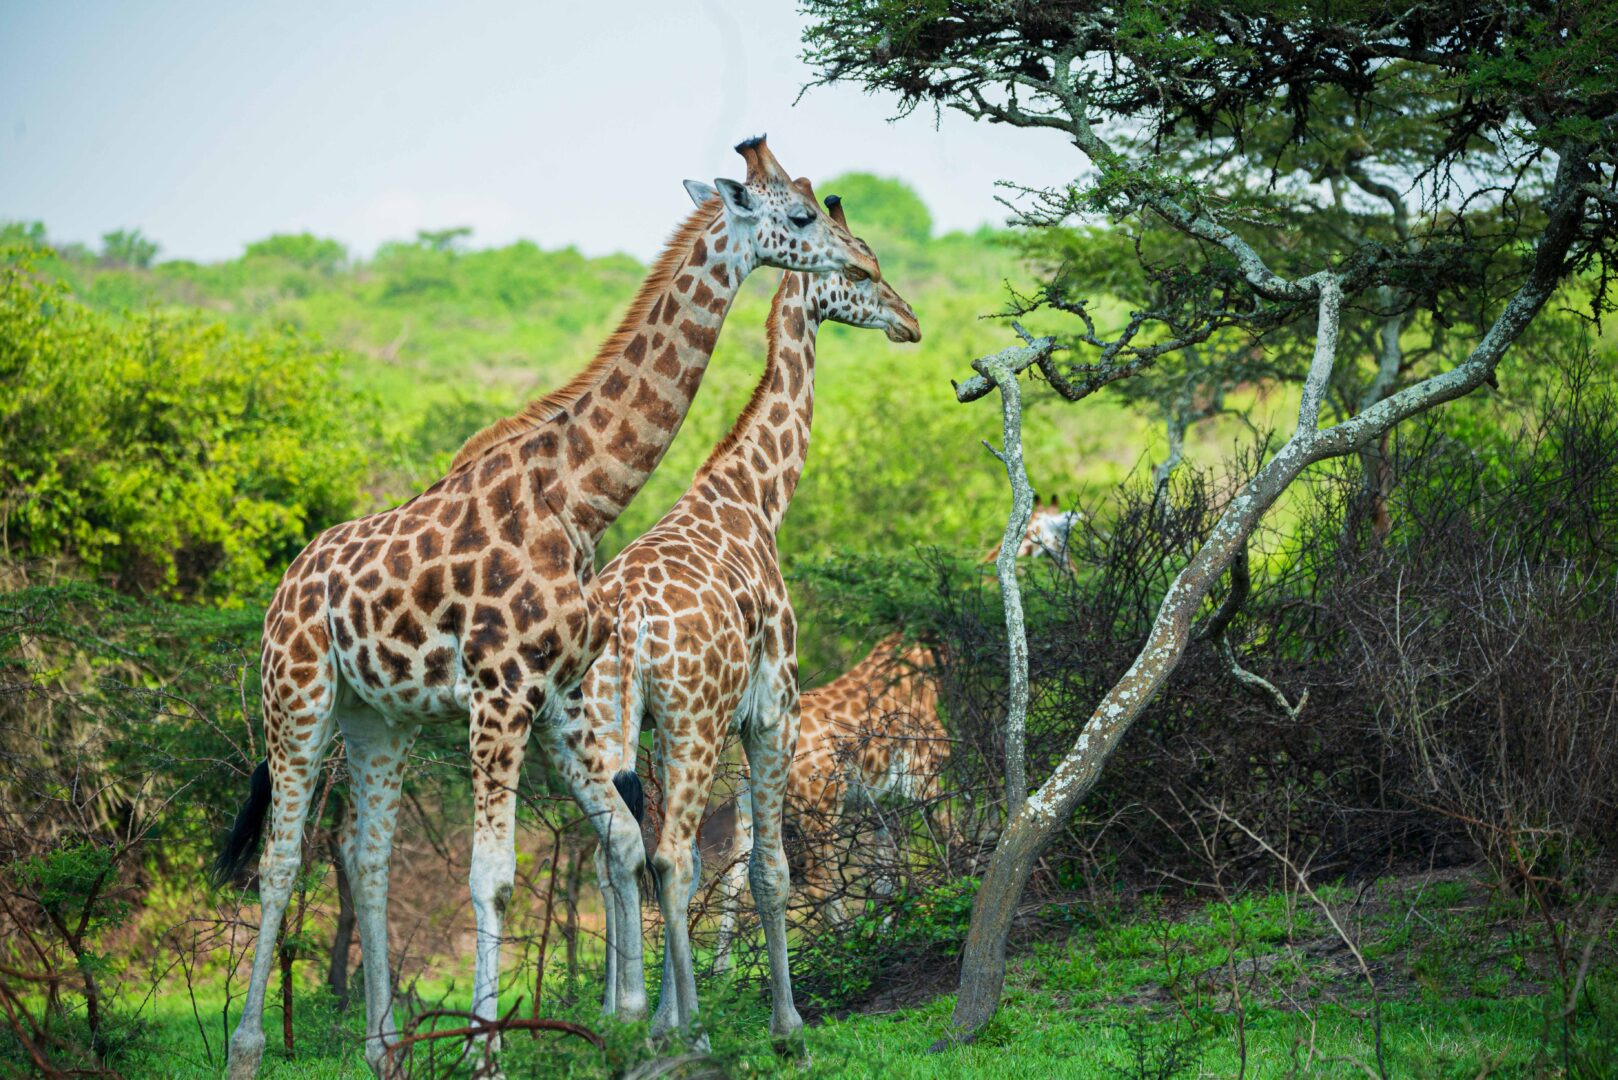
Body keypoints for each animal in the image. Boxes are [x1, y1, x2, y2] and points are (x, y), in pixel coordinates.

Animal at [211, 136, 882, 1080]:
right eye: (799, 215)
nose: (861, 263)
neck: (578, 497)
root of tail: (284, 586)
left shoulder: (557, 697)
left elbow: (619, 847)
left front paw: (630, 1026)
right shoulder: (500, 695)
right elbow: (493, 876)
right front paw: (488, 1052)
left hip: (379, 716)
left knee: (364, 856)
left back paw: (384, 1045)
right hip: (297, 694)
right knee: (279, 859)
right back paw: (247, 1047)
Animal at [577, 193, 921, 1041]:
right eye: (861, 271)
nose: (909, 321)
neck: (757, 495)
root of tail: (627, 624)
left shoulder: (675, 725)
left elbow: (715, 865)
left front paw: (670, 1009)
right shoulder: (772, 709)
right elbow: (770, 871)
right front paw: (786, 1020)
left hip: (611, 723)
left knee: (620, 852)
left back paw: (634, 1016)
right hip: (694, 723)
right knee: (667, 855)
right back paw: (688, 1026)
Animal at [711, 633, 951, 972]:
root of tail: (745, 763)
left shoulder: (884, 805)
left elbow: (885, 877)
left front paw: (887, 933)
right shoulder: (923, 781)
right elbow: (952, 838)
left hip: (748, 812)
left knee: (733, 878)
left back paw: (719, 973)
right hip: (822, 808)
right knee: (815, 878)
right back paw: (851, 945)